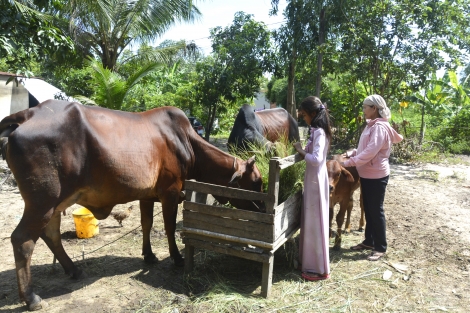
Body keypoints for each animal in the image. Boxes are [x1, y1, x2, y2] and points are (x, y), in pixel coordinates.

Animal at [0, 100, 264, 310]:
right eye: (257, 182)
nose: (263, 209)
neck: (186, 141)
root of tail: (28, 114)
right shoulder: (170, 192)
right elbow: (169, 227)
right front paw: (176, 258)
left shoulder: (147, 196)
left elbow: (146, 224)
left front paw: (149, 255)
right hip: (42, 201)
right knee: (22, 240)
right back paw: (32, 298)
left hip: (56, 202)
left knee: (51, 235)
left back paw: (74, 270)